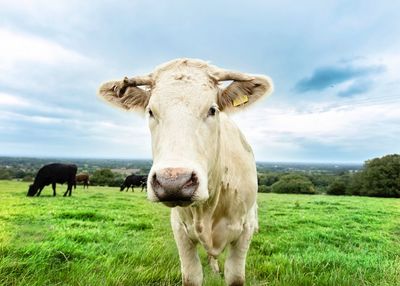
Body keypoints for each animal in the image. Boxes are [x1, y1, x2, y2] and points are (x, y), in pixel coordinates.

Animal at [97, 58, 272, 286]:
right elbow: (191, 276)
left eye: (212, 110)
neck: (208, 207)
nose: (173, 182)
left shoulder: (245, 231)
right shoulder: (179, 229)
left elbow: (235, 276)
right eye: (151, 111)